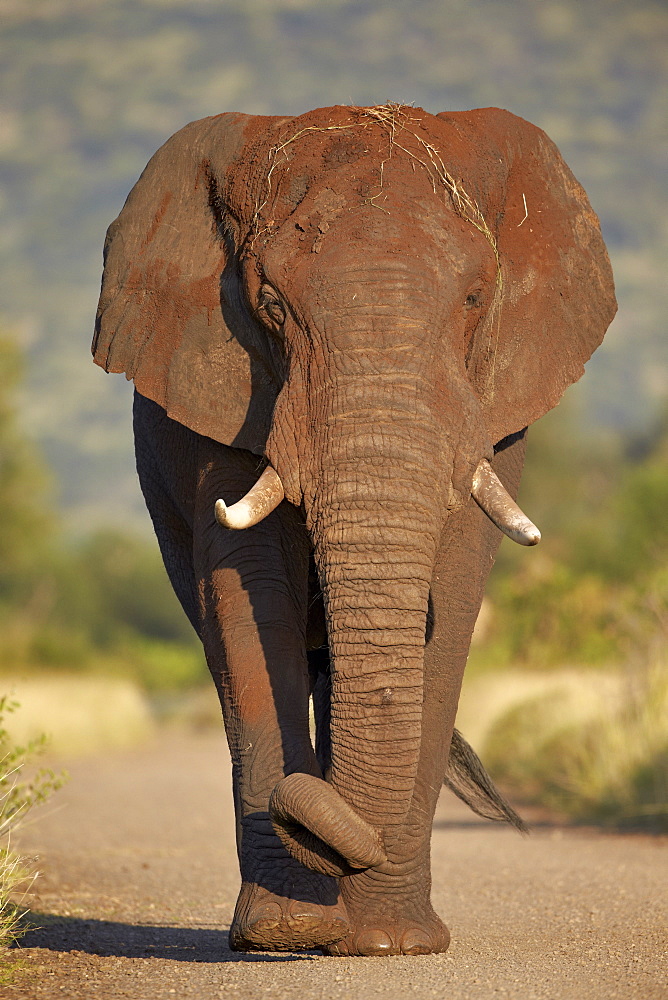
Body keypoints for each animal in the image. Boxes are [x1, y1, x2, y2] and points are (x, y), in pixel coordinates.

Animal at [92, 105, 616, 956]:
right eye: (270, 305)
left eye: (476, 298)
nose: (306, 809)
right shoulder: (228, 389)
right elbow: (248, 595)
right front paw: (286, 932)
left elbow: (451, 597)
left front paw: (394, 944)